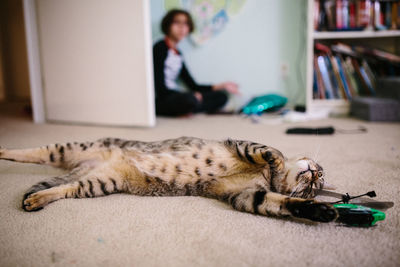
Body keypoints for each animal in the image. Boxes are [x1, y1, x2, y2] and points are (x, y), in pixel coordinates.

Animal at [0, 137, 338, 223]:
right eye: (317, 173)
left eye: (313, 189)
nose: (315, 173)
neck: (267, 179)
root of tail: (86, 165)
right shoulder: (243, 145)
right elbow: (272, 152)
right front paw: (277, 160)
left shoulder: (246, 196)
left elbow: (282, 202)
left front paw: (321, 211)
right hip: (70, 149)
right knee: (34, 153)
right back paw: (3, 149)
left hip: (97, 183)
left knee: (63, 187)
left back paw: (36, 199)